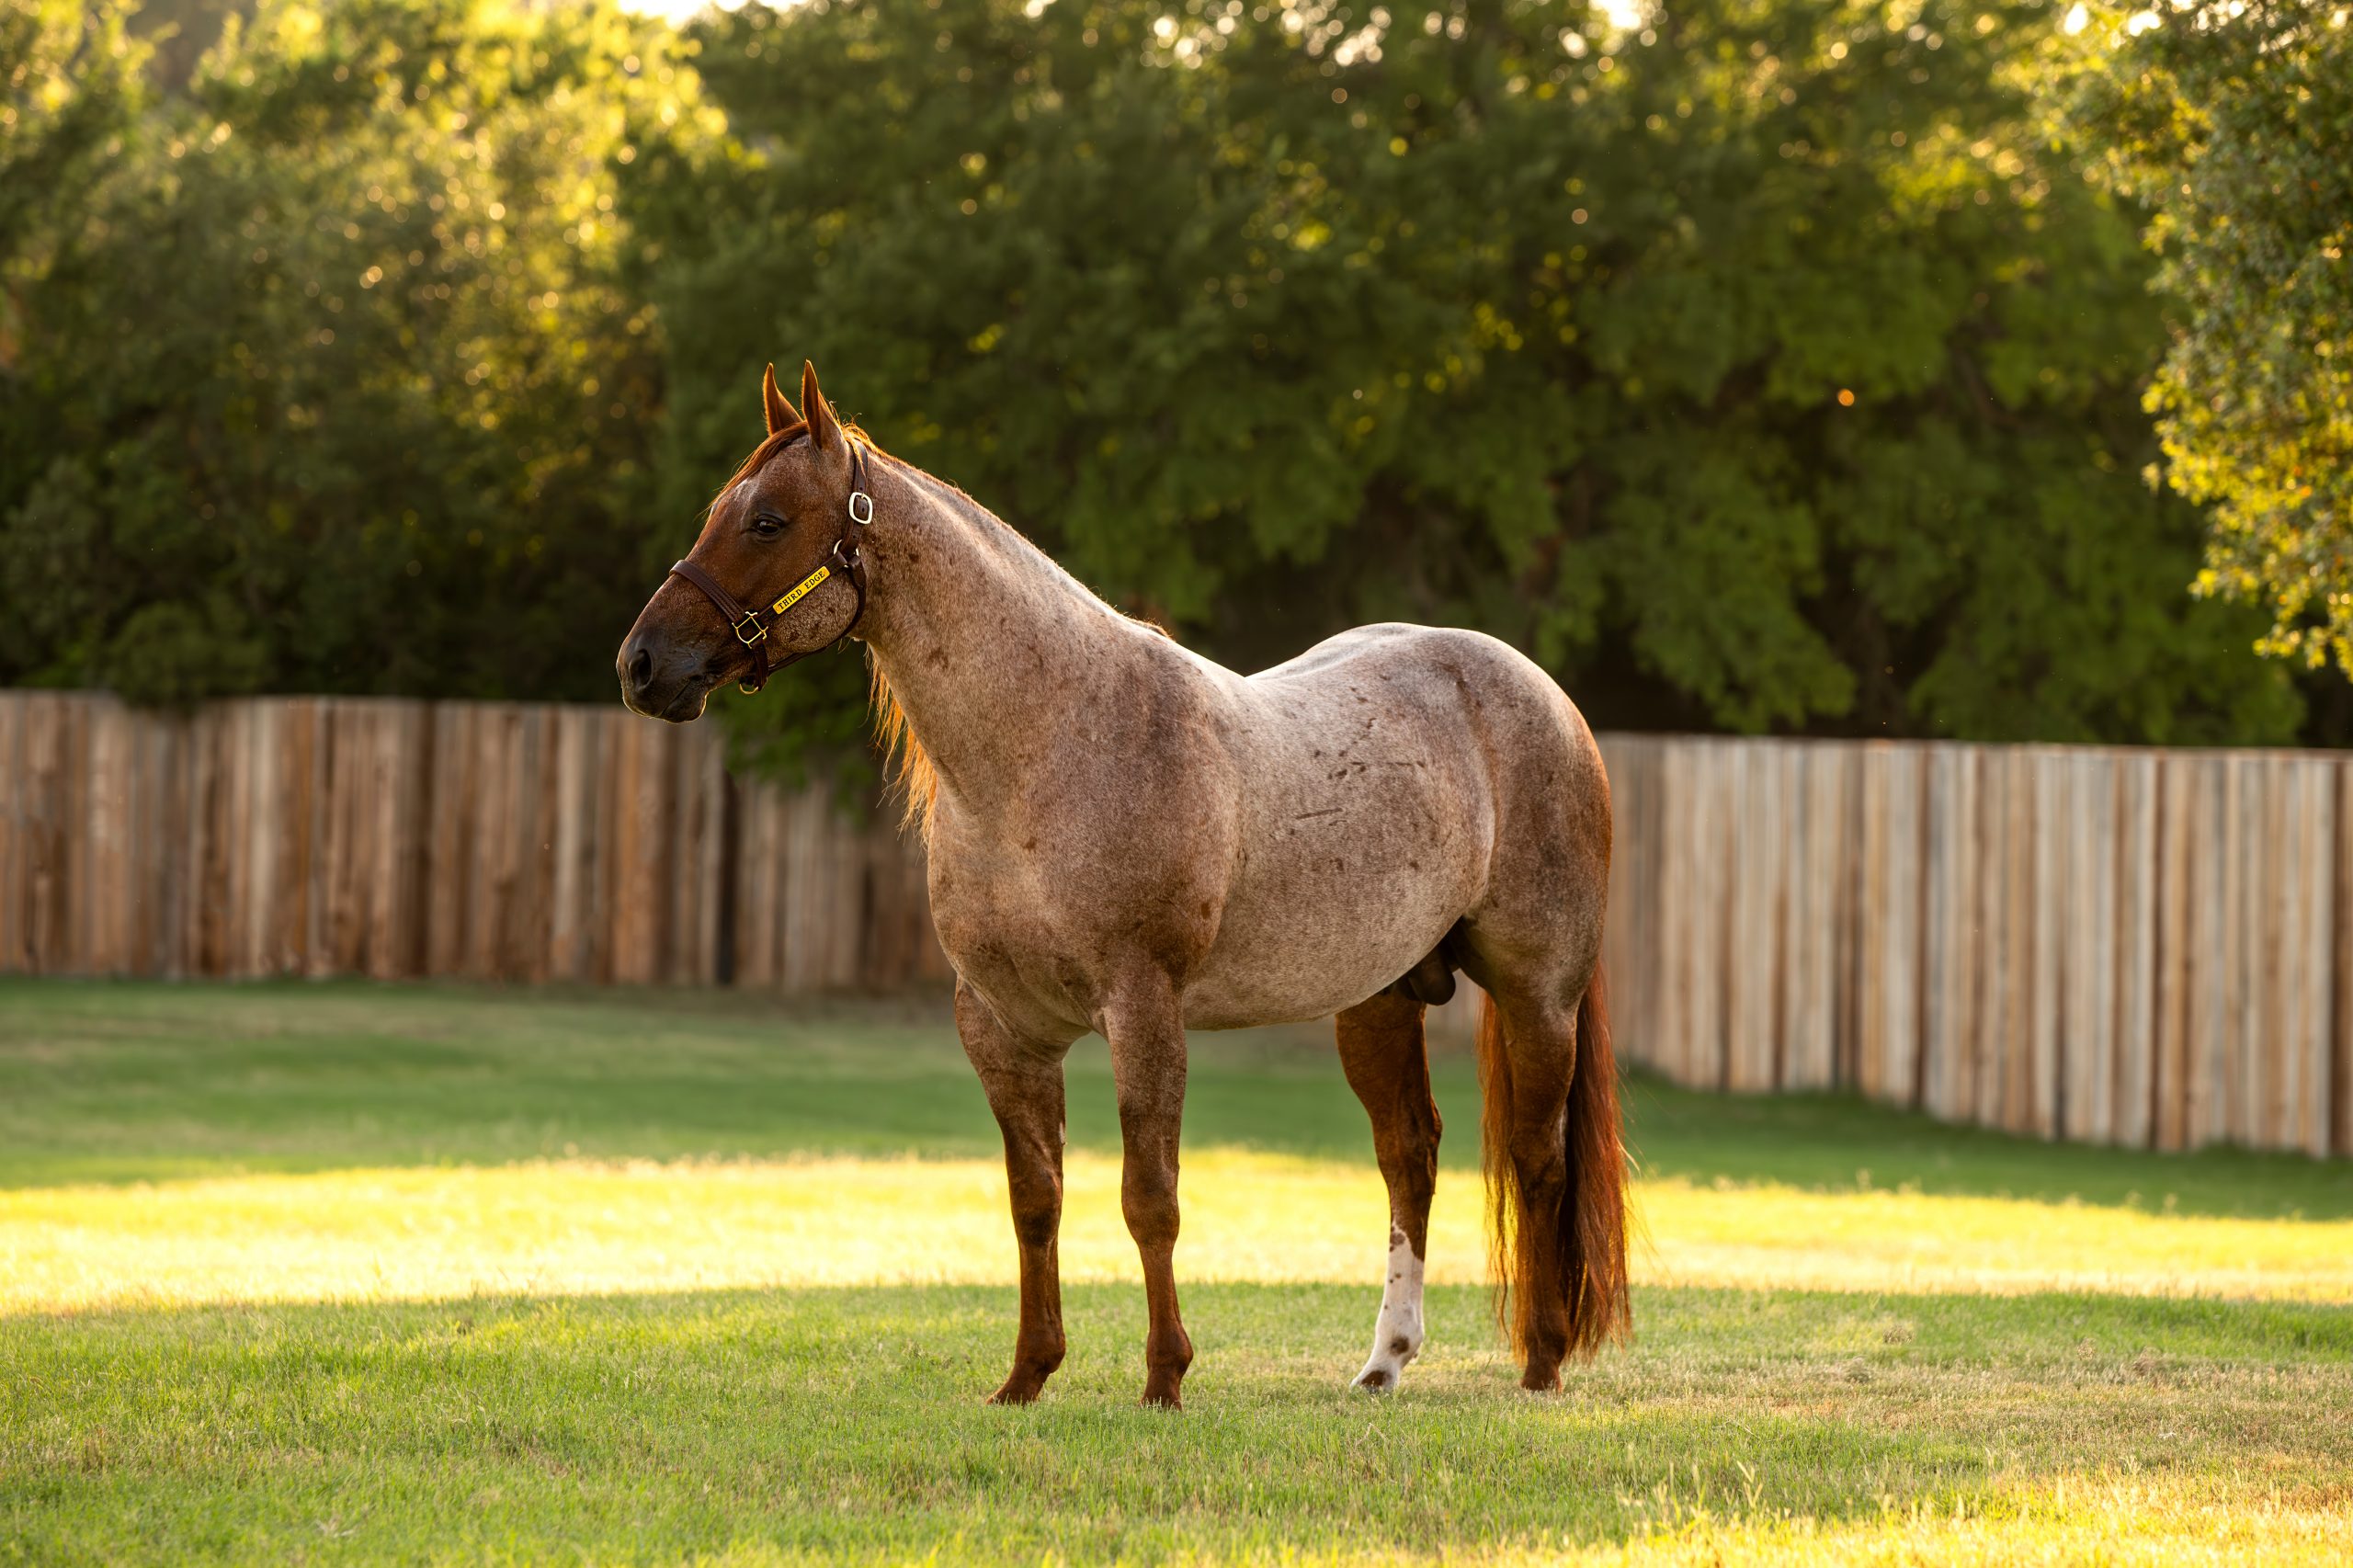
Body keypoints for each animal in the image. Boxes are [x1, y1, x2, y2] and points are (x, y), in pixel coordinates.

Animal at [616, 367, 1628, 1403]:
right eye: (721, 512)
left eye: (768, 521)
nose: (643, 663)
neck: (1051, 747)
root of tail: (1542, 696)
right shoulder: (1003, 1026)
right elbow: (1035, 1199)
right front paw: (1027, 1374)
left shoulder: (1143, 1010)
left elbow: (1150, 1199)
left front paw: (1164, 1379)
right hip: (1378, 1001)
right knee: (1409, 1154)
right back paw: (1385, 1361)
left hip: (1537, 996)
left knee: (1536, 1160)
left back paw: (1542, 1361)